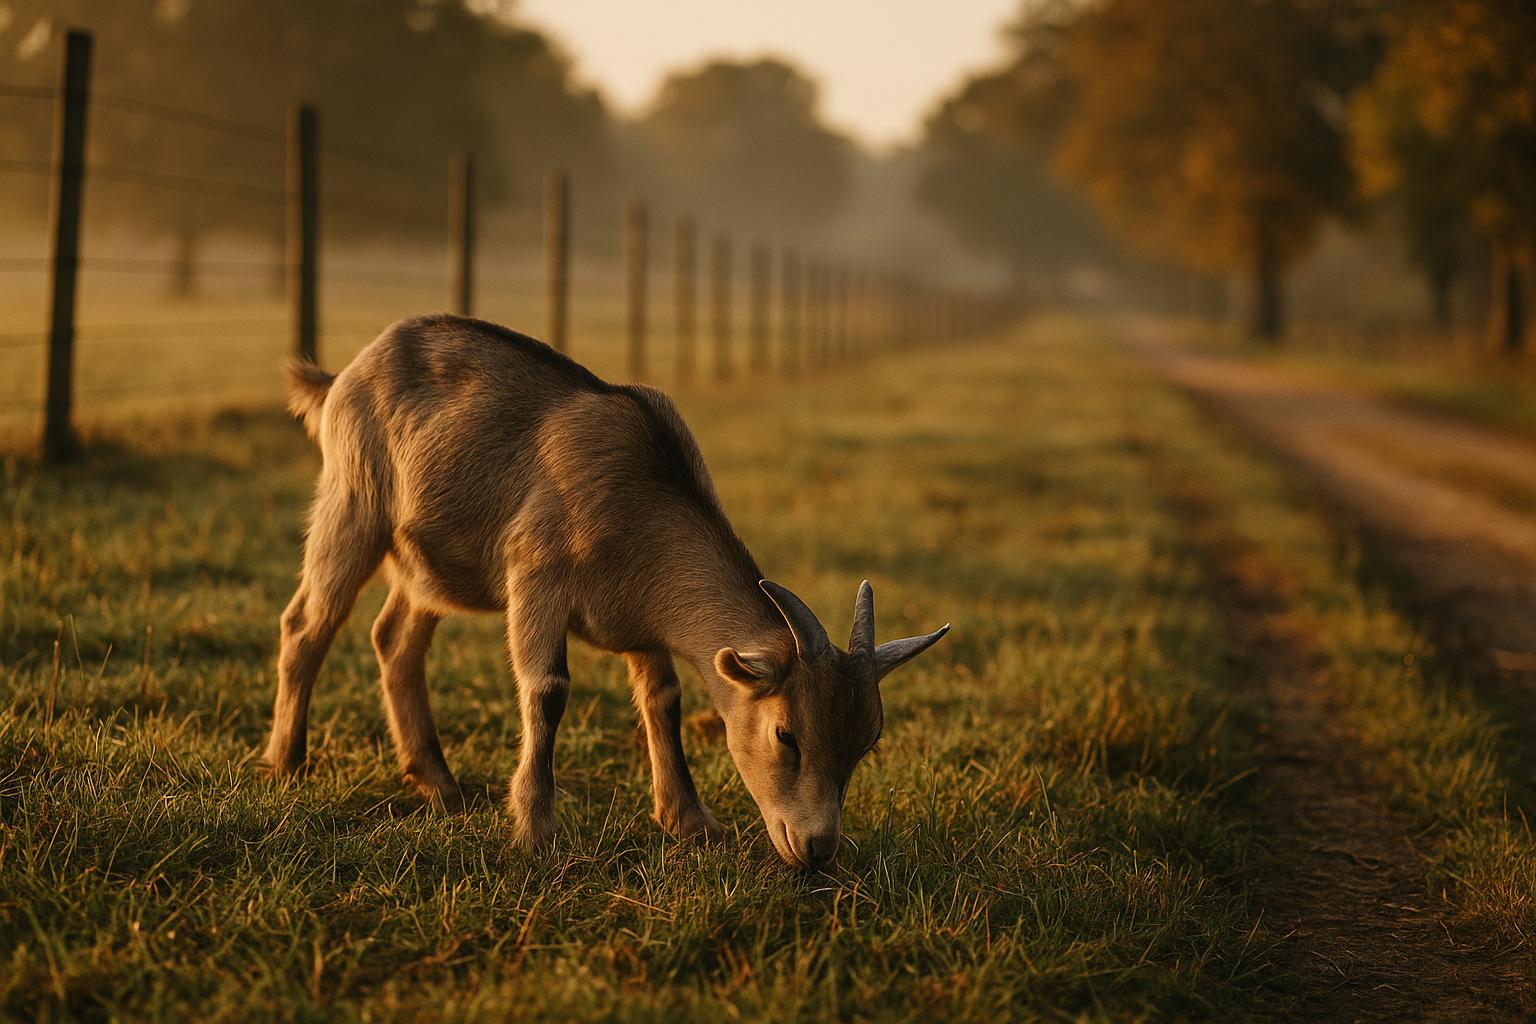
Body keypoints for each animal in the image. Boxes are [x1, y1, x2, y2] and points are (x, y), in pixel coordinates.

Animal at [265, 314, 948, 868]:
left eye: (867, 741)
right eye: (787, 735)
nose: (817, 849)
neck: (638, 498)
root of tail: (341, 377)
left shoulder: (645, 624)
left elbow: (664, 698)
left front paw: (690, 821)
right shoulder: (535, 576)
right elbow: (548, 690)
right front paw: (535, 831)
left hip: (428, 565)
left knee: (394, 639)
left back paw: (438, 783)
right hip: (353, 500)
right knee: (307, 624)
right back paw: (288, 764)